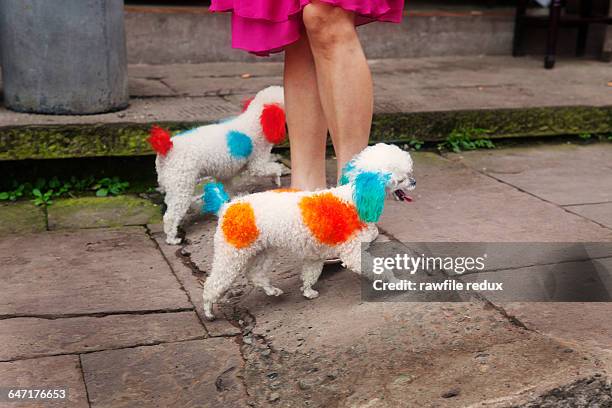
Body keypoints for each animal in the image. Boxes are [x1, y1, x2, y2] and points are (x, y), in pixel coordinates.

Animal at [151, 85, 290, 244]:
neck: (256, 120)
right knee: (171, 216)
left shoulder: (226, 174)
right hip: (182, 185)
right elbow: (273, 168)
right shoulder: (257, 164)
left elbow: (228, 187)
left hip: (173, 184)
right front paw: (278, 177)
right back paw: (172, 238)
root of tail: (167, 146)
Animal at [198, 142, 414, 320]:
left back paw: (271, 290)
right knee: (213, 284)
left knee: (255, 274)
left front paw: (308, 291)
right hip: (230, 256)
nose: (414, 182)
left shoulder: (315, 255)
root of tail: (226, 206)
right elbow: (381, 270)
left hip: (264, 250)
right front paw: (396, 282)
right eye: (401, 179)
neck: (355, 198)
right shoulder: (353, 254)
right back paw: (208, 310)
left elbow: (310, 274)